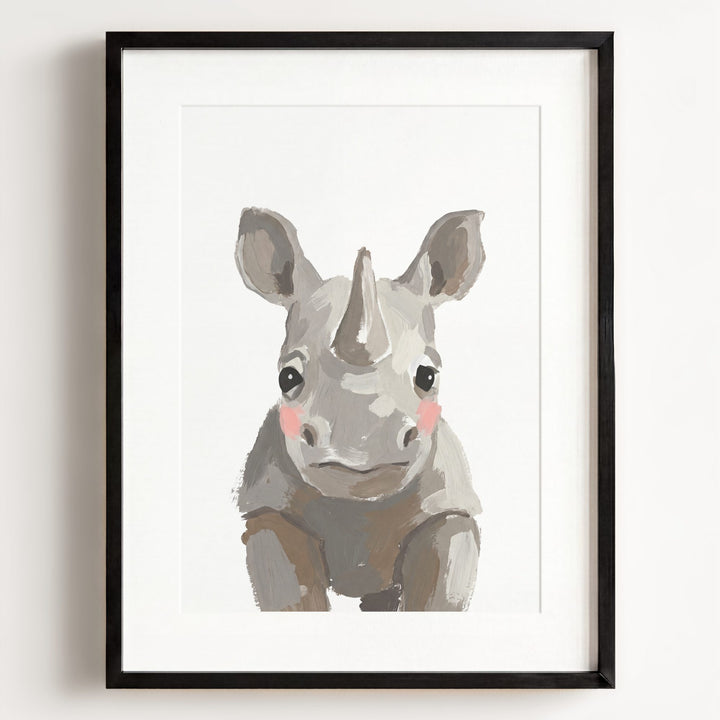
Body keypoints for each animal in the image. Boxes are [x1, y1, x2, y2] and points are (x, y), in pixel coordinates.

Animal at [234, 207, 486, 611]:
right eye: (287, 378)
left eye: (428, 376)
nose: (359, 448)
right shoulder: (268, 506)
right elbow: (290, 594)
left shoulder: (450, 508)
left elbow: (438, 593)